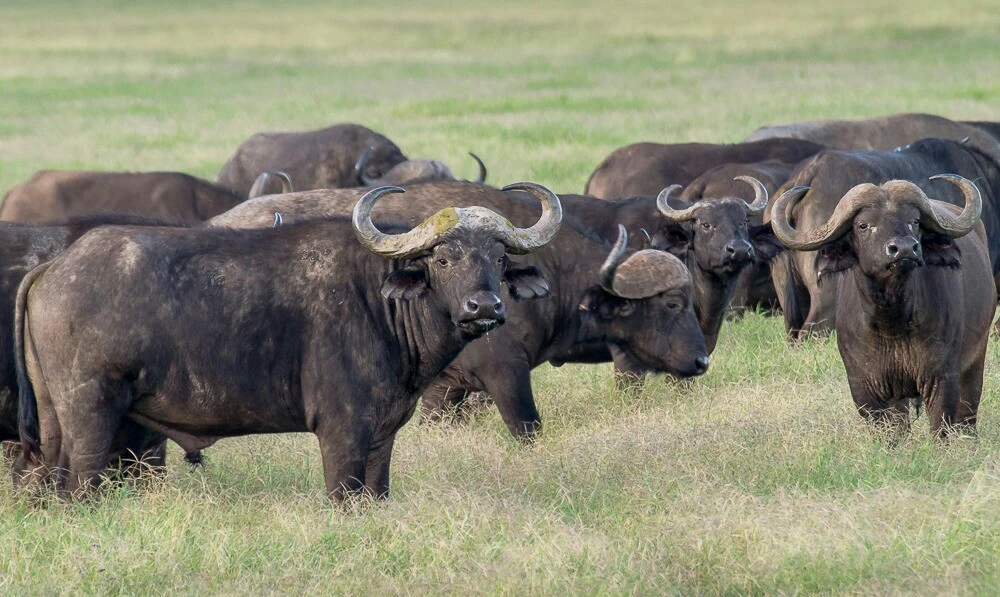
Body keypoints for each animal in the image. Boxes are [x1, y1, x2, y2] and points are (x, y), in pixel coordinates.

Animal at [15, 184, 561, 500]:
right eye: (443, 259)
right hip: (91, 415)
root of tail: (55, 266)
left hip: (52, 423)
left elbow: (376, 495)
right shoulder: (342, 432)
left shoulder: (382, 435)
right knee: (83, 484)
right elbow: (343, 497)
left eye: (498, 258)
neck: (378, 302)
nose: (484, 307)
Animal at [771, 176, 995, 436]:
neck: (892, 323)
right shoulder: (866, 387)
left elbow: (941, 425)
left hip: (975, 361)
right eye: (863, 225)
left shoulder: (942, 377)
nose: (905, 249)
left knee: (967, 415)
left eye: (914, 221)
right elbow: (892, 431)